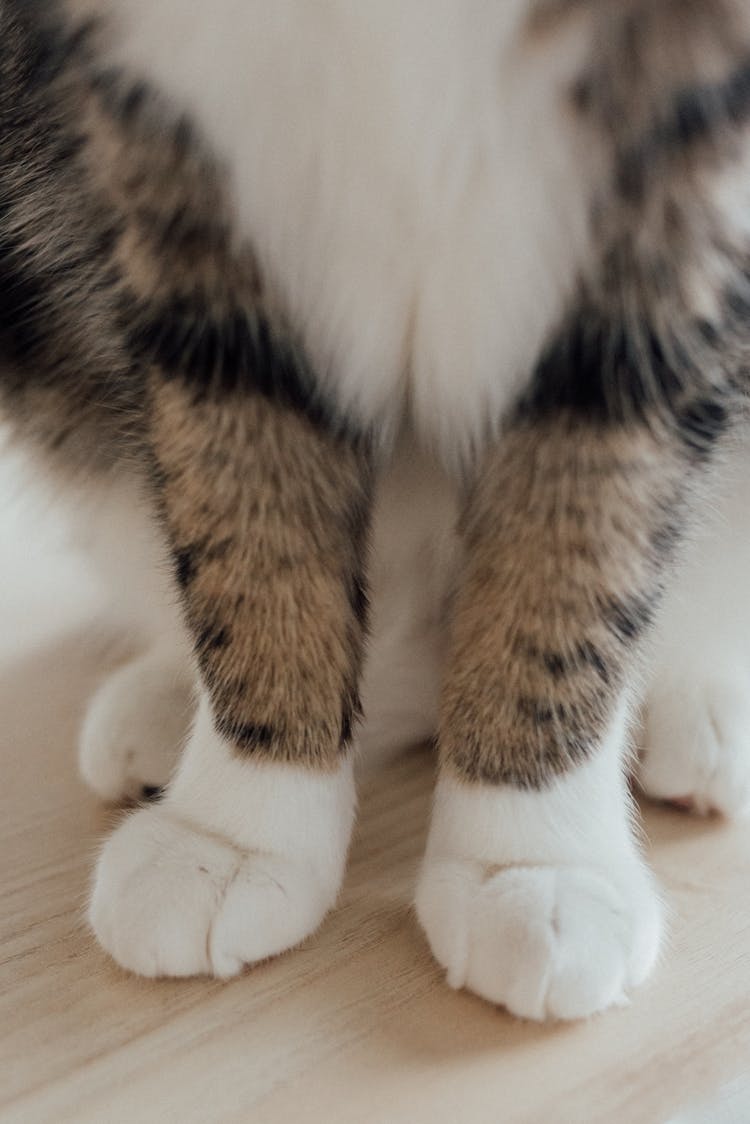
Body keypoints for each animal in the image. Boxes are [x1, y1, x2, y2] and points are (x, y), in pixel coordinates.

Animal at [1, 0, 750, 1020]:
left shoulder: (676, 189)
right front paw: (238, 825)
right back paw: (171, 699)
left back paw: (690, 701)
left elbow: (577, 550)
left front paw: (532, 859)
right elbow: (247, 518)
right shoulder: (183, 161)